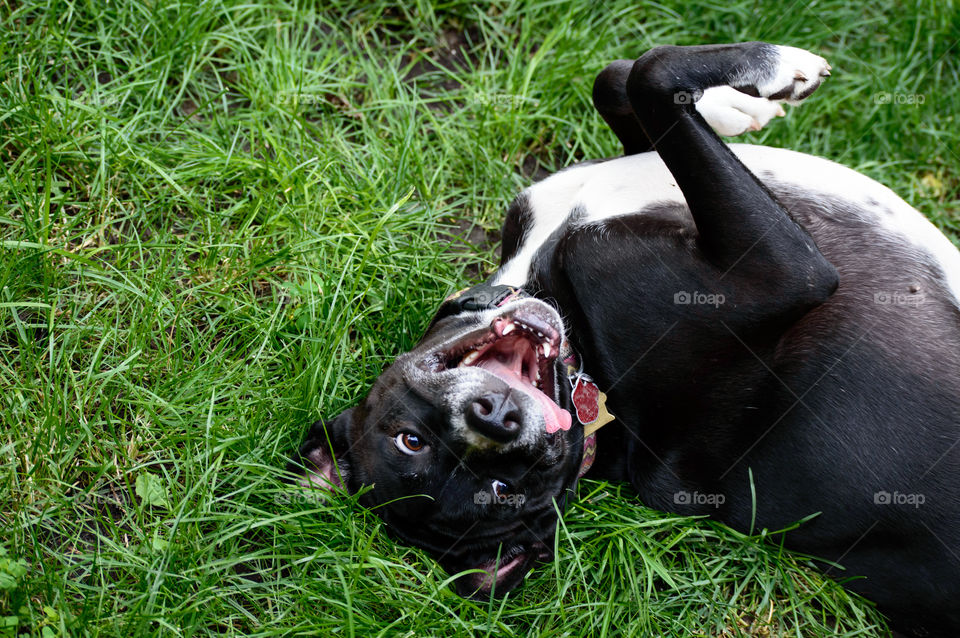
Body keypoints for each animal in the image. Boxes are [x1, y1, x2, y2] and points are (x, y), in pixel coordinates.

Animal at [292, 42, 960, 636]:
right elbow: (650, 73)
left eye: (408, 438)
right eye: (502, 489)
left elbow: (617, 81)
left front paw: (731, 109)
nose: (497, 417)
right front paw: (778, 72)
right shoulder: (783, 268)